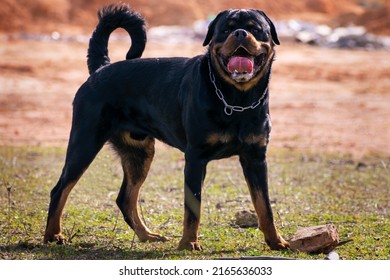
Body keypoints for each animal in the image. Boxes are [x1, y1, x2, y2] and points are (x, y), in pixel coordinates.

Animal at [45, 3, 290, 250]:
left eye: (255, 29)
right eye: (226, 30)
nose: (240, 33)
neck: (237, 100)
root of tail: (100, 69)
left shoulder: (255, 157)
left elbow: (264, 206)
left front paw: (276, 241)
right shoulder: (195, 157)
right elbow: (193, 207)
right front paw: (189, 243)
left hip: (139, 153)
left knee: (125, 198)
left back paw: (146, 235)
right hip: (85, 142)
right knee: (60, 190)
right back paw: (52, 235)